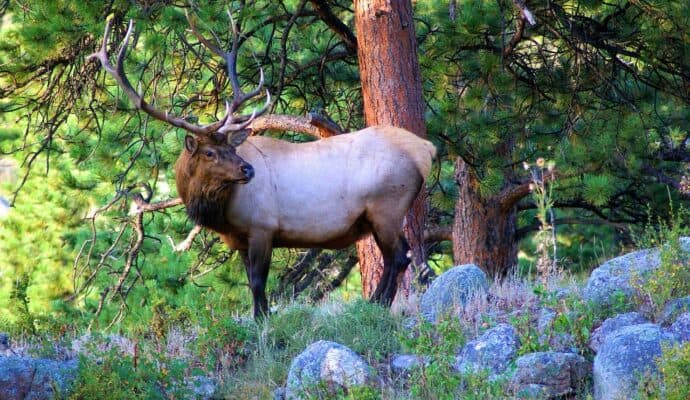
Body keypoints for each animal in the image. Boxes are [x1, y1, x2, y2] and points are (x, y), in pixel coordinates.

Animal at [90, 15, 436, 318]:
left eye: (230, 147)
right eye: (210, 153)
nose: (248, 170)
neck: (221, 213)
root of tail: (425, 149)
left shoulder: (262, 227)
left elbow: (258, 282)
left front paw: (261, 322)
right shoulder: (240, 239)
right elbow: (250, 283)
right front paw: (263, 316)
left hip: (386, 206)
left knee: (398, 257)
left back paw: (377, 305)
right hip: (382, 214)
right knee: (402, 256)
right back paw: (375, 303)